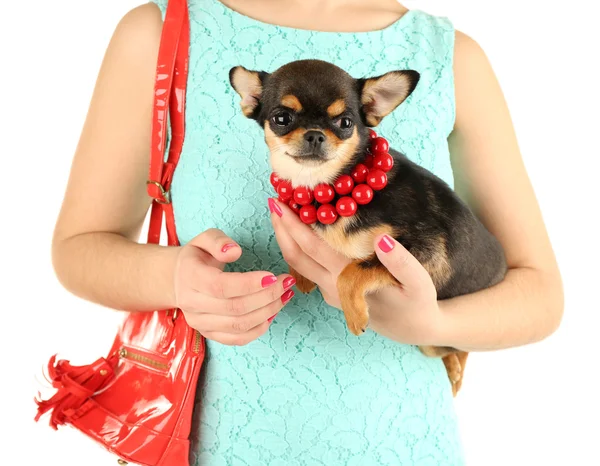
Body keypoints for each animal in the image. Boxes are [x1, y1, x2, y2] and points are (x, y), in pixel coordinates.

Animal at [230, 59, 506, 394]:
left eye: (346, 122)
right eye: (281, 118)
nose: (315, 135)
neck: (327, 186)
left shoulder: (425, 253)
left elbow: (351, 272)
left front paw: (355, 314)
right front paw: (302, 275)